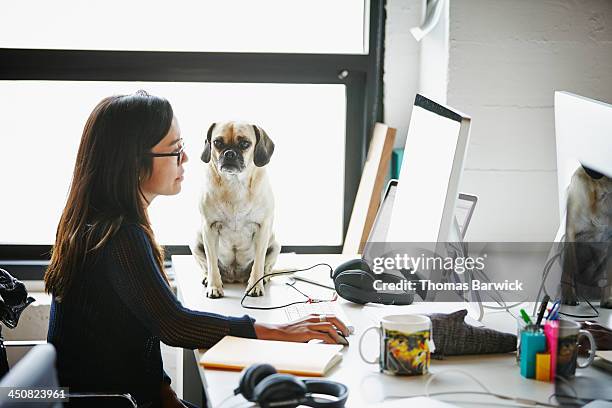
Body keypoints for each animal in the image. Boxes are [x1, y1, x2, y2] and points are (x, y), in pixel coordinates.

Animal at [192, 119, 280, 298]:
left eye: (245, 143)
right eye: (217, 143)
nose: (229, 153)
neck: (235, 184)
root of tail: (235, 277)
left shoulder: (263, 229)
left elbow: (259, 263)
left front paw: (255, 286)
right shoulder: (209, 229)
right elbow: (212, 264)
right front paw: (214, 286)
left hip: (275, 244)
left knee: (266, 266)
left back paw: (264, 279)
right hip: (197, 241)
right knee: (207, 266)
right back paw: (208, 278)